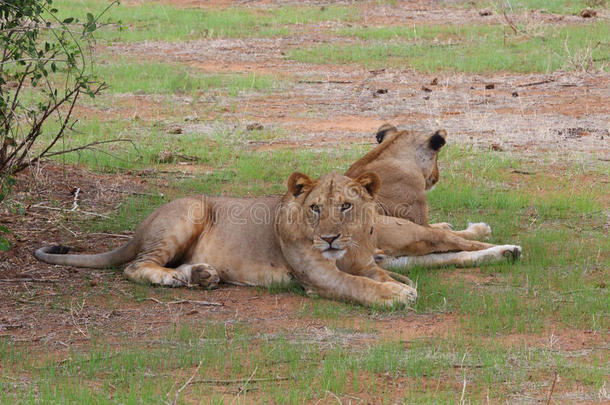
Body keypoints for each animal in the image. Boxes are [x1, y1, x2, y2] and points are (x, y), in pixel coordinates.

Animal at [34, 170, 516, 306]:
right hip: (189, 212)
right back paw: (179, 278)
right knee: (137, 266)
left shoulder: (373, 262)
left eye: (345, 205)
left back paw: (202, 275)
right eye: (315, 207)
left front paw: (401, 289)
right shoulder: (323, 278)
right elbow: (362, 286)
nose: (329, 238)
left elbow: (384, 276)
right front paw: (398, 297)